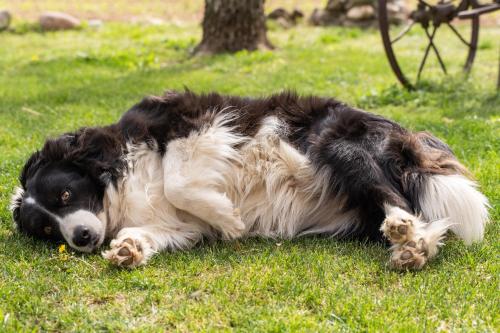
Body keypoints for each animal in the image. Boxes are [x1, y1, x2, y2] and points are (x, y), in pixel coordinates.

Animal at [9, 91, 490, 270]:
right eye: (48, 229)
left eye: (65, 193)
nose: (82, 238)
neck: (117, 182)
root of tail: (407, 139)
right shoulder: (178, 224)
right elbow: (158, 227)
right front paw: (128, 248)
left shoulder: (194, 122)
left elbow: (178, 180)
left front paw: (229, 218)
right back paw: (409, 247)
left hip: (338, 146)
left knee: (402, 203)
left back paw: (408, 237)